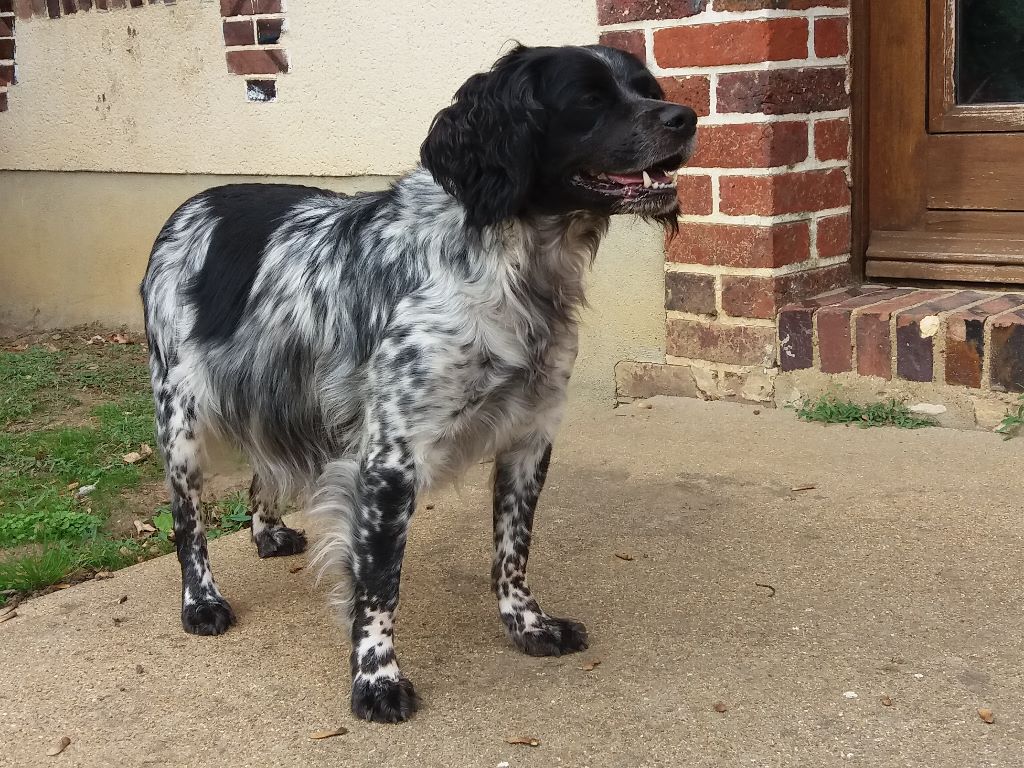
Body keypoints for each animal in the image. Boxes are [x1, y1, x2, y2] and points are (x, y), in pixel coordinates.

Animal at [142, 45, 696, 724]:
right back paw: (201, 601)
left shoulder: (530, 436)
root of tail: (189, 206)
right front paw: (375, 678)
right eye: (589, 98)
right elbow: (379, 583)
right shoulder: (390, 459)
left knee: (263, 466)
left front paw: (527, 626)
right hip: (182, 417)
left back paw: (267, 532)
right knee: (187, 521)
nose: (686, 117)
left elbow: (513, 550)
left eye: (649, 88)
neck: (510, 264)